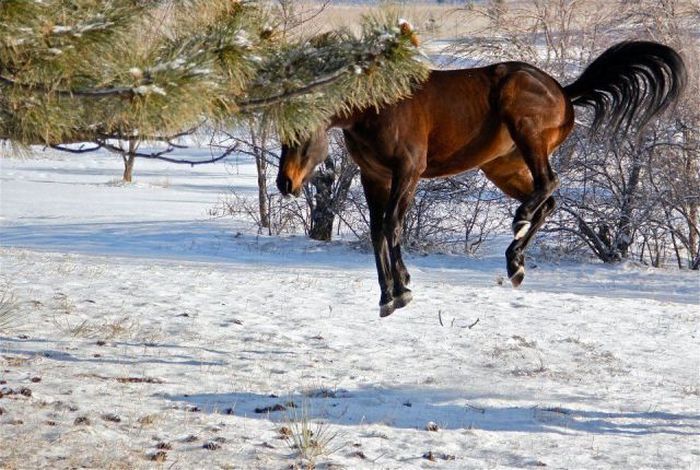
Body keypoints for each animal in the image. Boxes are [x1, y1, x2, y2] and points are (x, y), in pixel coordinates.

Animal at [276, 42, 688, 318]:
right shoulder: (374, 177)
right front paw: (388, 296)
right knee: (549, 200)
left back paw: (519, 223)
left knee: (550, 183)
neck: (380, 106)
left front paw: (401, 289)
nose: (285, 184)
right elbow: (379, 230)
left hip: (526, 133)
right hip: (501, 167)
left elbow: (392, 226)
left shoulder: (407, 173)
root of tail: (563, 91)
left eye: (302, 133)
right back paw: (515, 262)